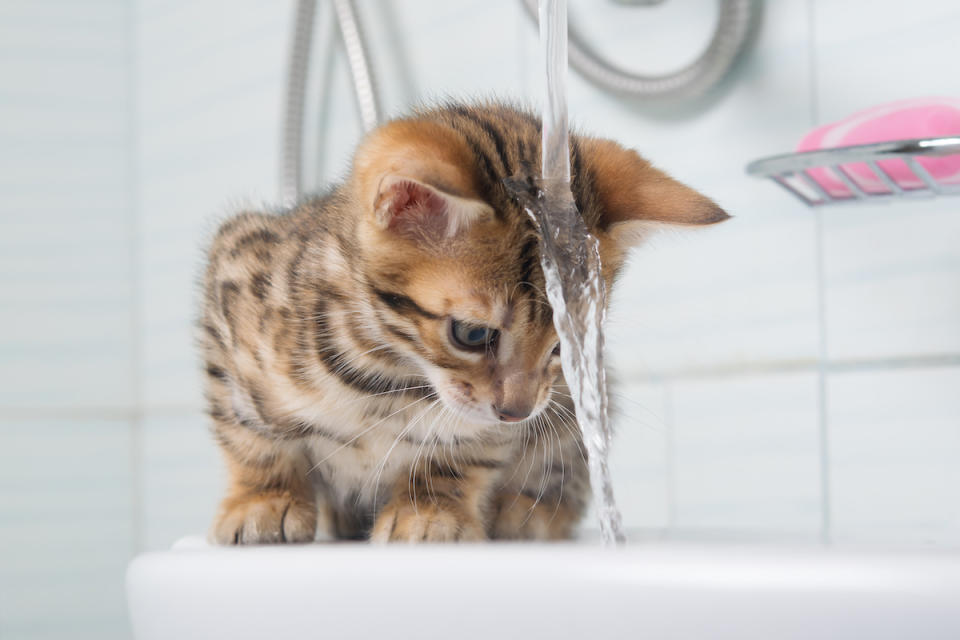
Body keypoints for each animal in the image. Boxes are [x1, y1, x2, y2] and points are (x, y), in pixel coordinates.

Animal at [202, 102, 728, 544]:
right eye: (472, 335)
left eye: (561, 348)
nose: (518, 411)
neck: (390, 375)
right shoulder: (233, 274)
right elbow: (248, 435)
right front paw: (263, 499)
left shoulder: (503, 420)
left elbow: (464, 450)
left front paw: (430, 509)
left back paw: (530, 512)